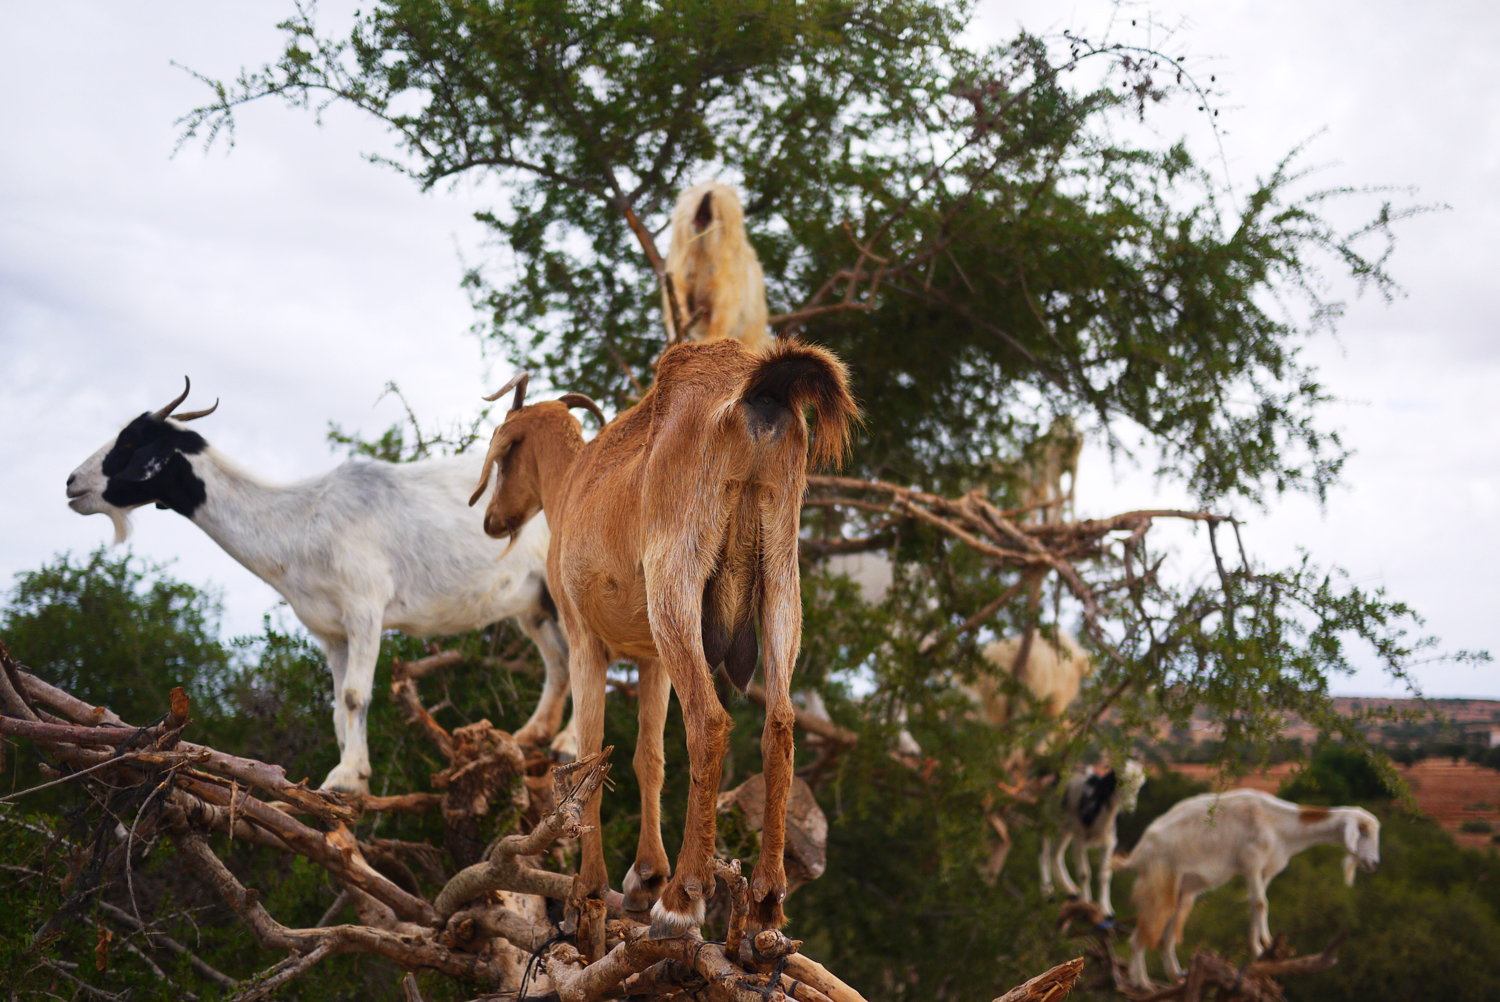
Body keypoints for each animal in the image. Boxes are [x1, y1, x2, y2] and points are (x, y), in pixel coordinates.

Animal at [66, 378, 573, 793]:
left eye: (131, 440)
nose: (72, 483)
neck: (300, 521)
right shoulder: (330, 631)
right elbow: (336, 709)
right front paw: (353, 774)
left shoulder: (365, 606)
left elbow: (354, 694)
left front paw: (345, 780)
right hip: (533, 603)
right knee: (559, 661)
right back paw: (533, 736)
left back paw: (567, 744)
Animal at [471, 338, 858, 940]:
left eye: (506, 456)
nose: (492, 519)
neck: (572, 484)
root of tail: (759, 391)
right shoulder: (649, 657)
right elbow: (647, 757)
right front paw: (644, 876)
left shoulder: (585, 639)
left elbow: (588, 754)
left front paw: (590, 890)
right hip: (781, 580)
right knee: (780, 725)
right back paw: (766, 902)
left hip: (677, 575)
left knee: (710, 721)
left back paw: (682, 900)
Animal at [661, 183, 775, 354]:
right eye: (700, 189)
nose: (708, 194)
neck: (702, 253)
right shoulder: (679, 278)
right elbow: (677, 306)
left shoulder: (727, 292)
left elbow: (720, 321)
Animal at [1039, 760, 1145, 917]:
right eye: (1120, 782)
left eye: (1139, 787)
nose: (1129, 809)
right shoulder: (1080, 838)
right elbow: (1084, 873)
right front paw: (1086, 904)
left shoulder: (1109, 842)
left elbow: (1105, 875)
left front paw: (1106, 910)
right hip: (1049, 815)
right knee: (1044, 851)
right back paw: (1048, 893)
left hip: (1066, 826)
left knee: (1055, 852)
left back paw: (1070, 890)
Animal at [1118, 788, 1381, 986]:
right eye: (1364, 832)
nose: (1374, 864)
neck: (1278, 824)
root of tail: (1138, 853)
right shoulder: (1251, 862)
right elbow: (1261, 903)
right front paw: (1262, 945)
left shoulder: (1265, 871)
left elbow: (1257, 907)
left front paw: (1260, 950)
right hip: (1160, 886)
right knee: (1139, 936)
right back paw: (1143, 984)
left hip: (1184, 892)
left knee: (1167, 937)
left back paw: (1176, 977)